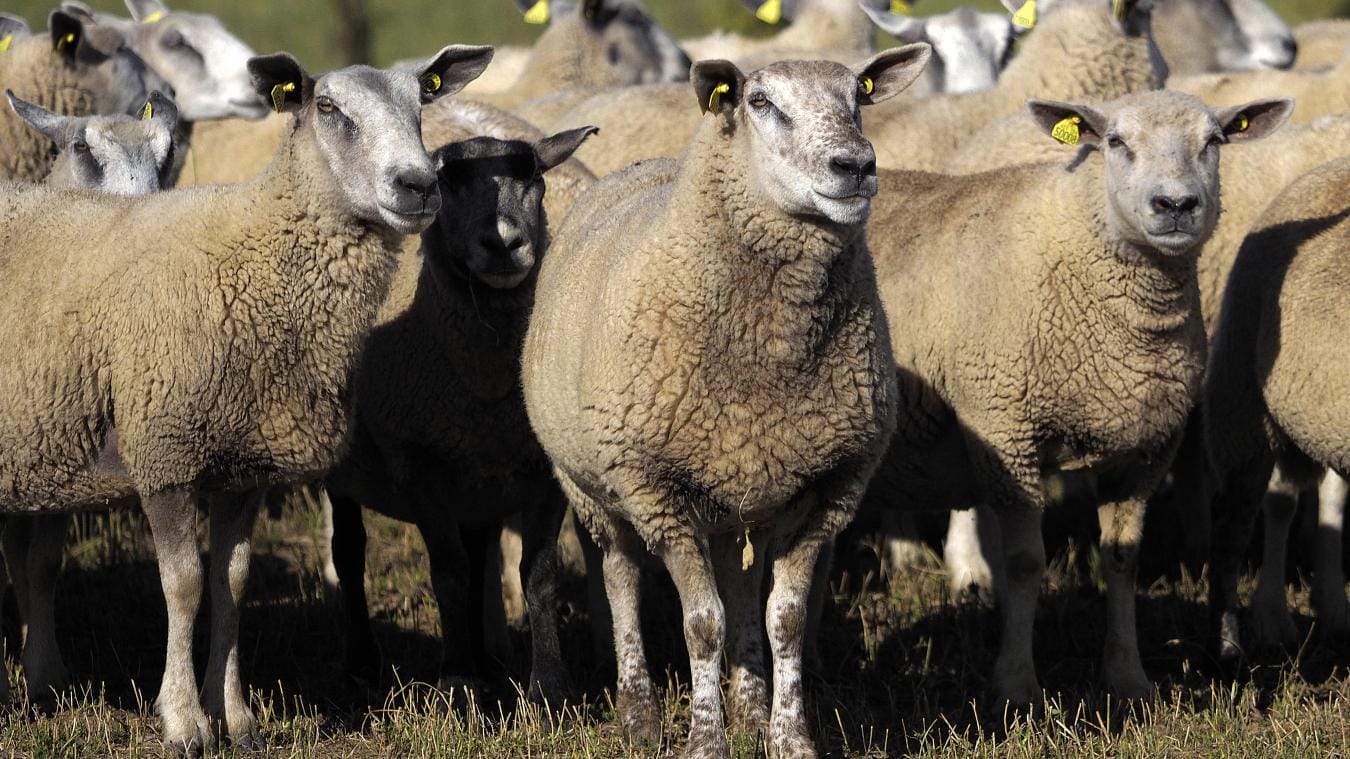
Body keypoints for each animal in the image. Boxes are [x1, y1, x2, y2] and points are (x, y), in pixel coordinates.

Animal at [324, 125, 597, 697]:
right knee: (350, 551)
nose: (503, 242)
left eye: (535, 180)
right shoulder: (420, 462)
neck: (487, 385)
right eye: (448, 184)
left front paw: (550, 685)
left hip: (478, 481)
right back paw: (362, 663)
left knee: (479, 555)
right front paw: (457, 679)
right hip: (347, 471)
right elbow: (448, 574)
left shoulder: (539, 468)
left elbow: (537, 573)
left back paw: (490, 662)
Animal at [522, 44, 930, 758]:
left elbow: (783, 619)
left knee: (741, 583)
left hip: (742, 493)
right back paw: (640, 712)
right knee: (622, 579)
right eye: (760, 102)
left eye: (859, 95)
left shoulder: (827, 487)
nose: (855, 165)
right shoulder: (658, 490)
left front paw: (789, 737)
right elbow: (702, 623)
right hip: (596, 487)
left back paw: (749, 707)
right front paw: (705, 740)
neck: (770, 356)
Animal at [863, 90, 1290, 703]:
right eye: (1115, 141)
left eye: (1214, 141)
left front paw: (1128, 677)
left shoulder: (1144, 451)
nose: (1176, 204)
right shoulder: (1006, 431)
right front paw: (1016, 685)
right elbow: (1024, 563)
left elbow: (1123, 560)